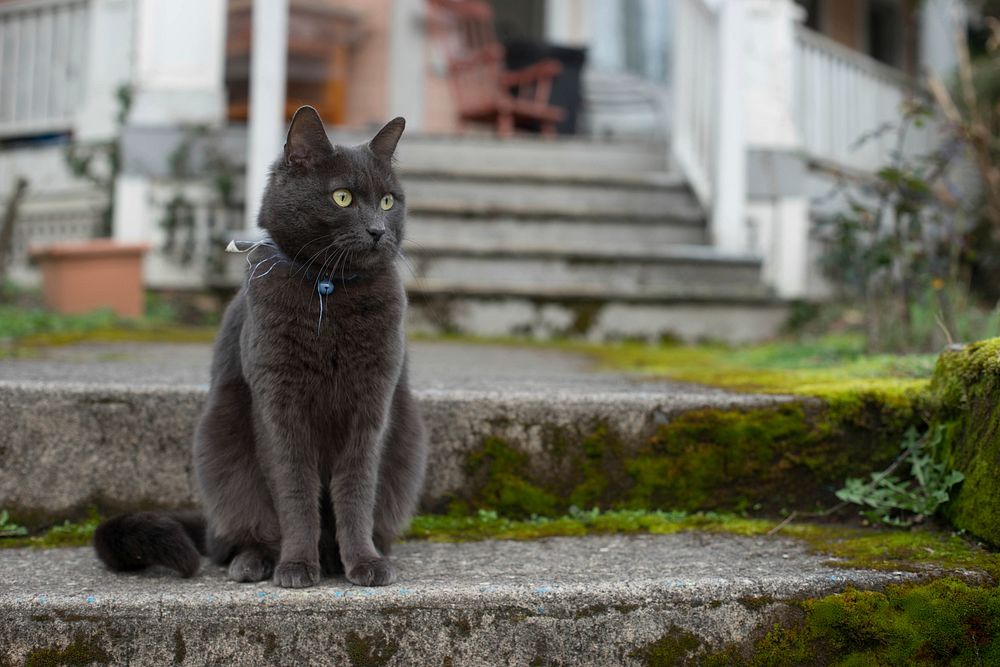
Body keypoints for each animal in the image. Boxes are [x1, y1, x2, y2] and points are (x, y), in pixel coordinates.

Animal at [94, 105, 434, 588]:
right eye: (342, 197)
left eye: (388, 201)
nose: (376, 231)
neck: (328, 288)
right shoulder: (277, 402)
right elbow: (294, 491)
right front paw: (296, 566)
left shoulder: (372, 404)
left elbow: (355, 488)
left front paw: (364, 563)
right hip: (220, 443)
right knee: (245, 532)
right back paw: (256, 562)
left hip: (407, 439)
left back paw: (352, 555)